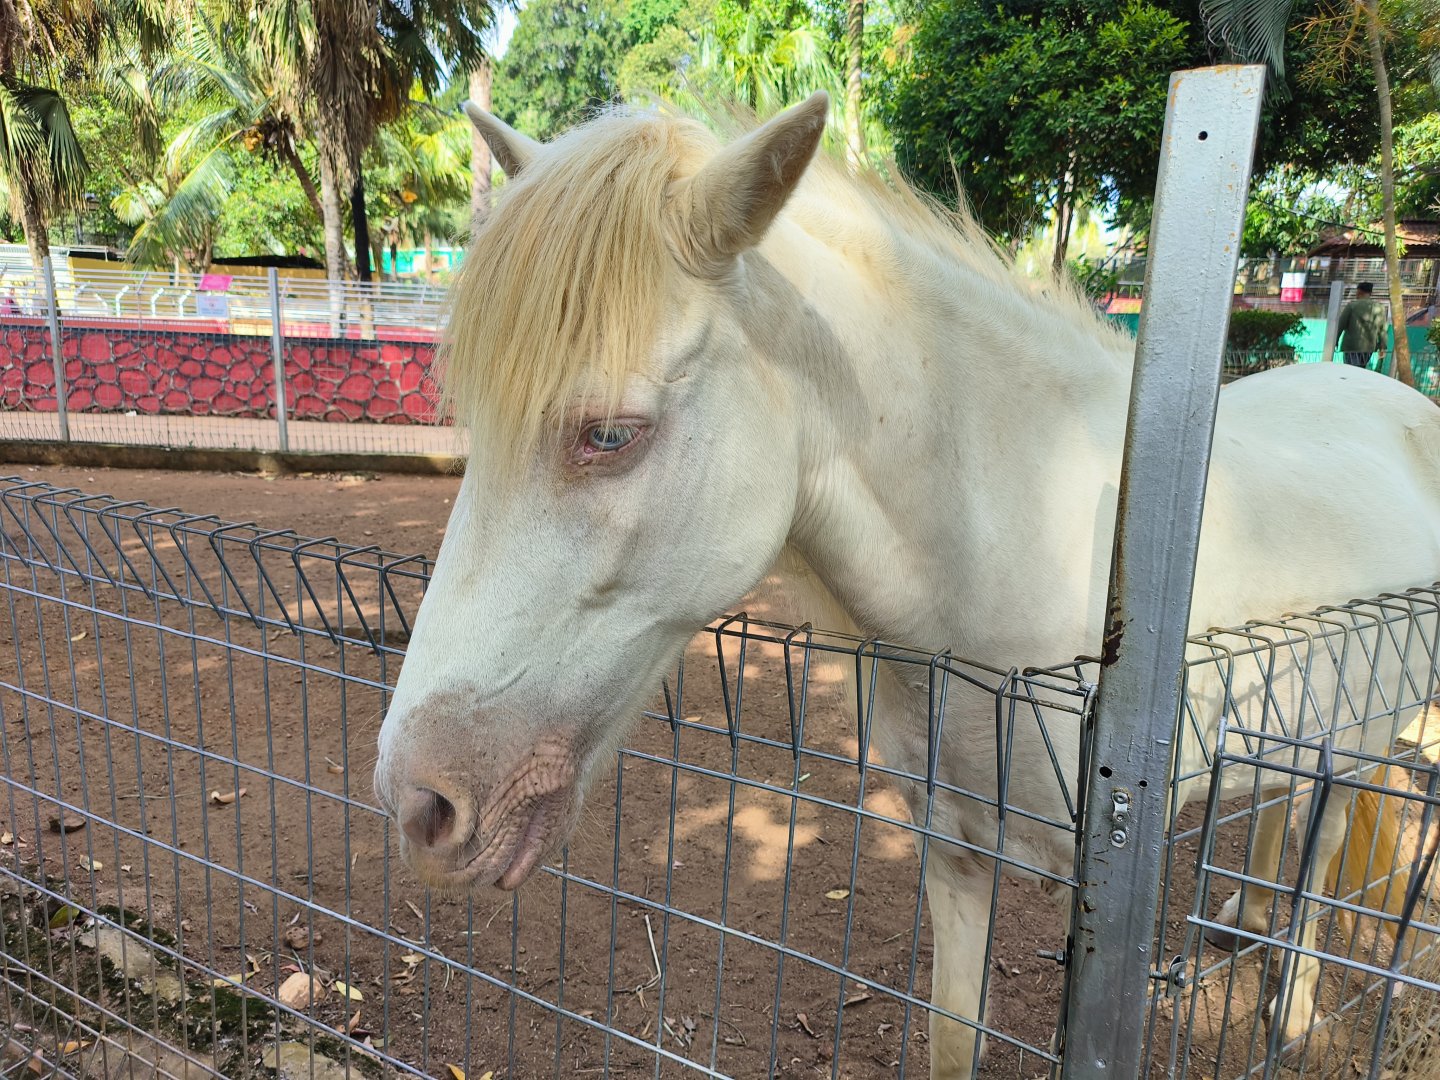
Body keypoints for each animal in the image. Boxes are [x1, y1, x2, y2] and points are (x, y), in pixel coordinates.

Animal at [372, 91, 1440, 1078]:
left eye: (609, 434)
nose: (415, 804)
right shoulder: (953, 851)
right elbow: (952, 1036)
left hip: (1364, 738)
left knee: (1321, 854)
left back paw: (1291, 1007)